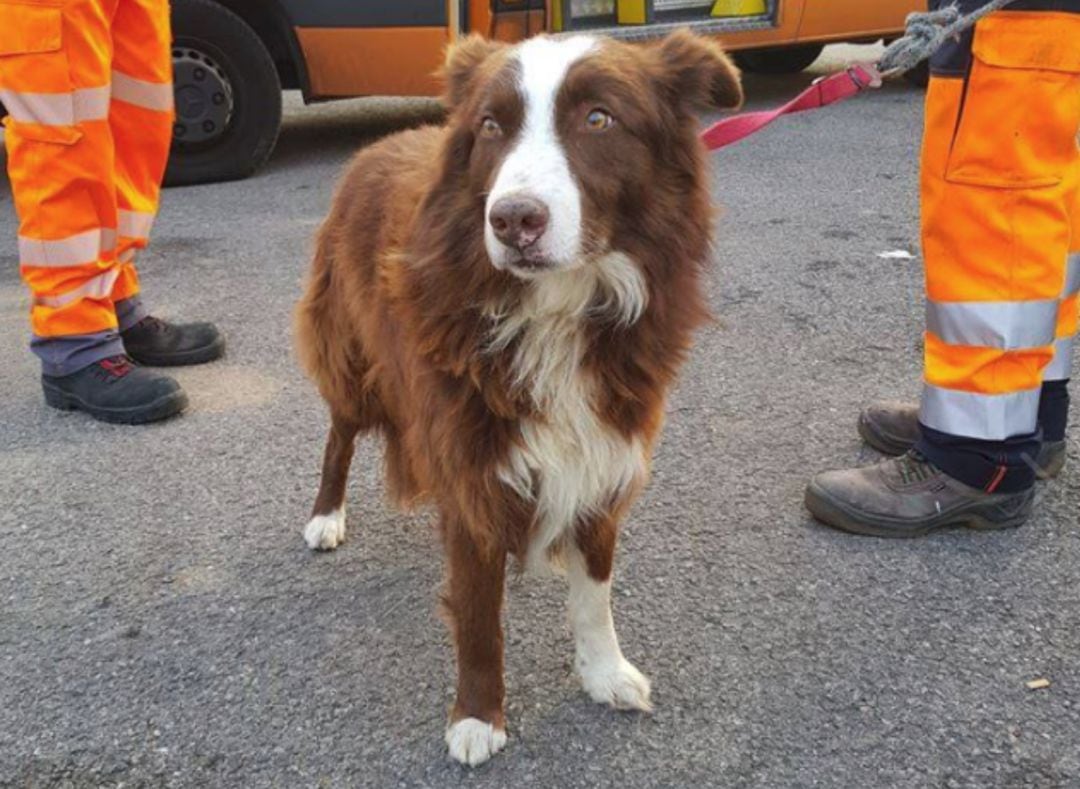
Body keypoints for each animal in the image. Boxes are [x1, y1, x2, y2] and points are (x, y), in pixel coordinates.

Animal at [295, 29, 743, 764]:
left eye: (598, 119)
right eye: (490, 126)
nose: (511, 221)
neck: (556, 307)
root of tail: (376, 145)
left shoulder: (604, 449)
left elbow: (595, 593)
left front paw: (604, 672)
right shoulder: (473, 460)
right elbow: (479, 612)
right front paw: (478, 717)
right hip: (353, 354)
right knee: (340, 433)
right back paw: (326, 516)